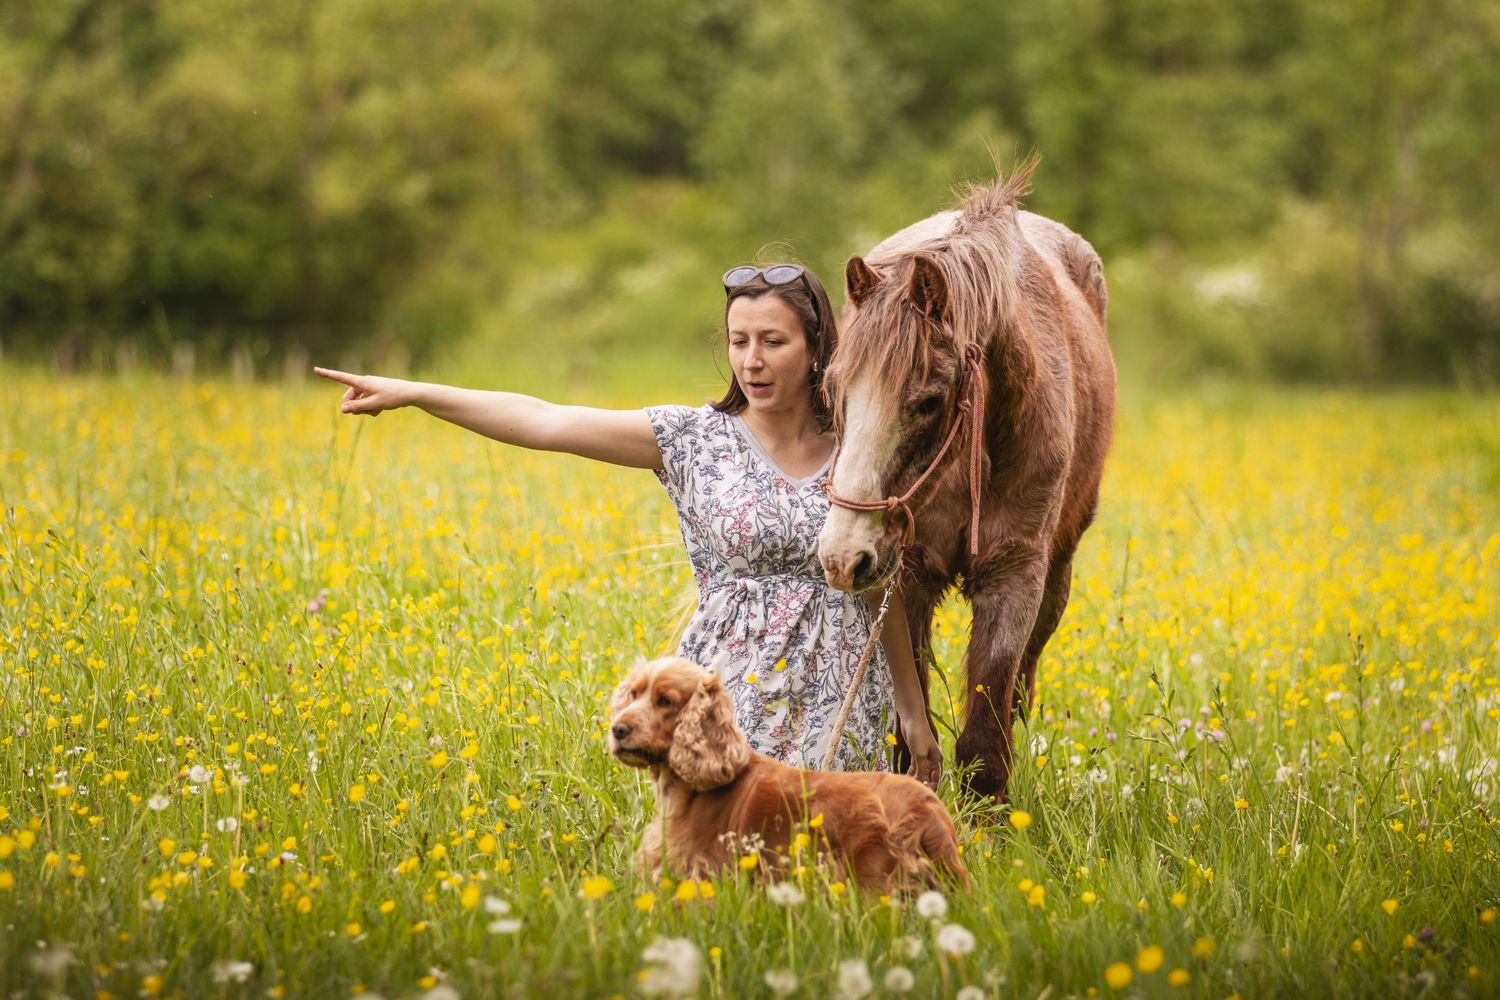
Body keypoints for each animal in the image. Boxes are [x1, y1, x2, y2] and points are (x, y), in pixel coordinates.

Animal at [817, 159, 1114, 801]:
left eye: (929, 401)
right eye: (833, 392)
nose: (842, 556)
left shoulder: (1015, 577)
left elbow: (985, 735)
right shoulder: (906, 580)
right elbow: (910, 735)